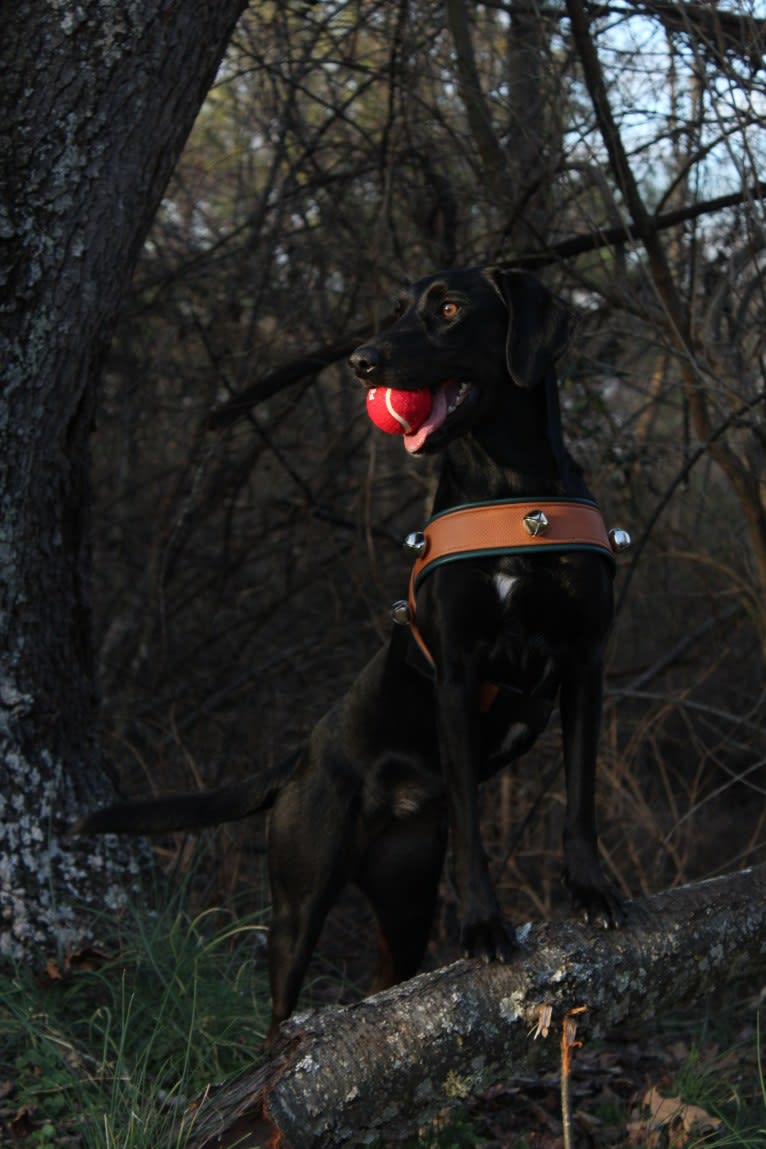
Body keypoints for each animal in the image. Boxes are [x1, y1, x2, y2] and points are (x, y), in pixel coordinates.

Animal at [74, 268, 624, 1052]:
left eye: (448, 309)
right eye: (394, 311)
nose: (362, 362)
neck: (512, 492)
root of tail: (300, 758)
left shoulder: (584, 664)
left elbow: (580, 799)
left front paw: (592, 890)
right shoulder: (458, 675)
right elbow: (473, 825)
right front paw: (485, 926)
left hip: (405, 901)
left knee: (385, 987)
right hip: (300, 896)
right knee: (281, 1007)